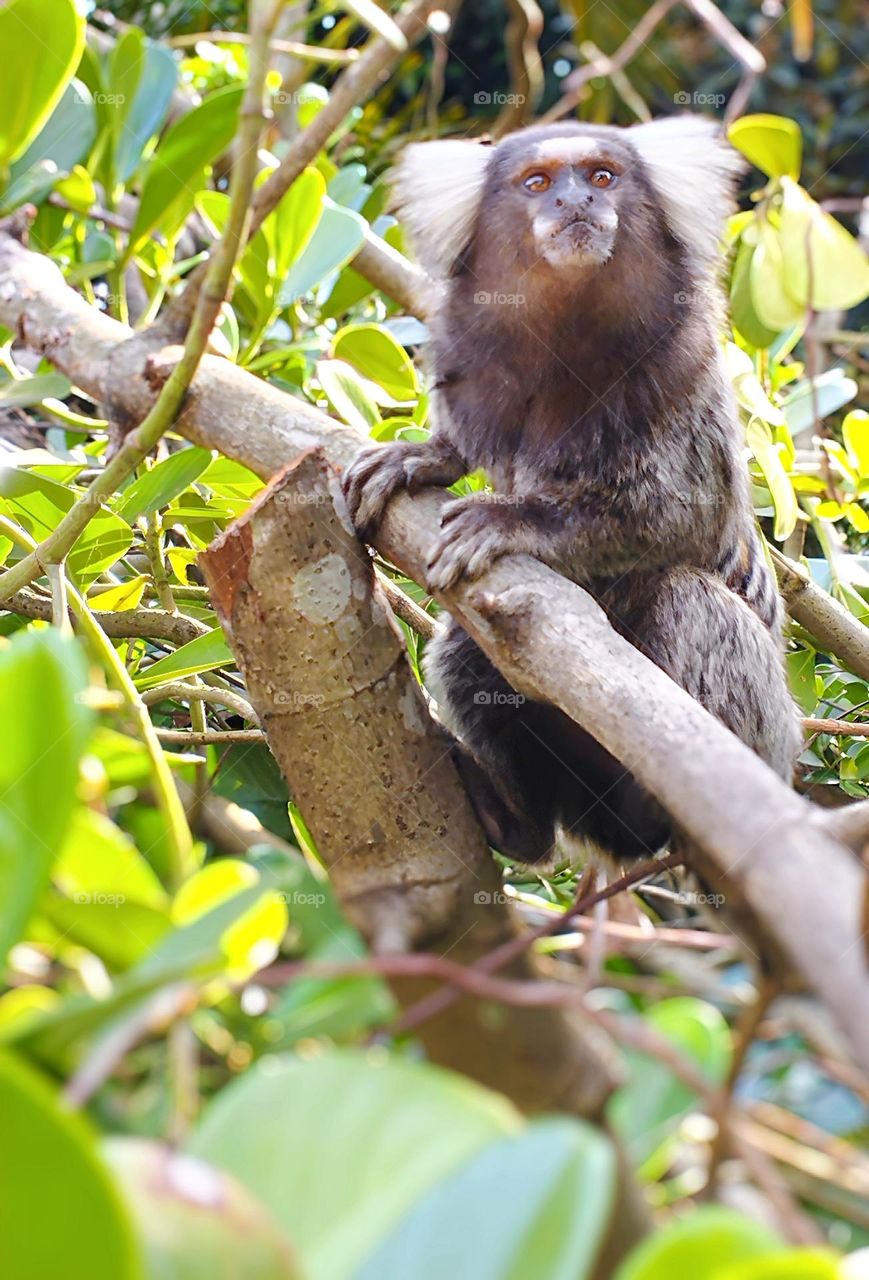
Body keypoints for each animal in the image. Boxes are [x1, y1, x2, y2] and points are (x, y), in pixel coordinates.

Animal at [342, 115, 802, 868]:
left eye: (601, 176)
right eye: (537, 182)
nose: (574, 202)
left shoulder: (682, 365)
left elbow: (686, 521)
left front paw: (510, 520)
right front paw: (424, 457)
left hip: (763, 746)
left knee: (690, 600)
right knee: (471, 652)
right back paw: (512, 822)